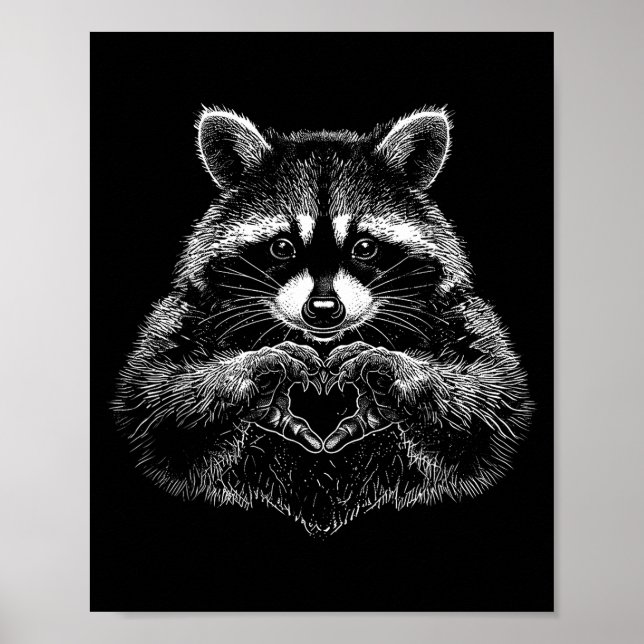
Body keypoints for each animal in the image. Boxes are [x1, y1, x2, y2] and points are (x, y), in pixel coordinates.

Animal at [113, 107, 533, 535]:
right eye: (282, 247)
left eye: (364, 247)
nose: (324, 308)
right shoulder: (191, 310)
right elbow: (153, 399)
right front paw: (245, 374)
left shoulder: (456, 311)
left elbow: (493, 399)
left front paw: (401, 375)